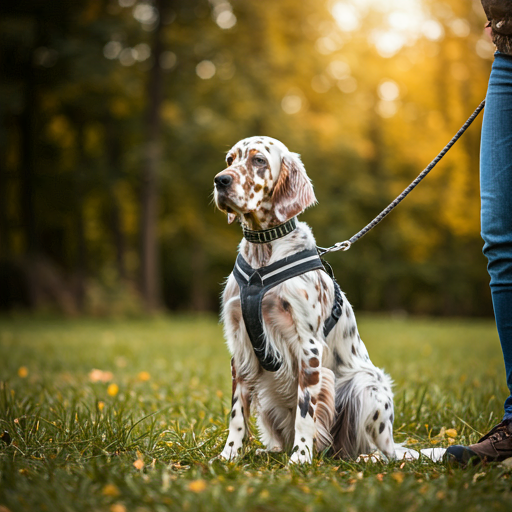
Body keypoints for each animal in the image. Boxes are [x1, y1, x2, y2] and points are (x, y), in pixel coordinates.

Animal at [214, 136, 394, 464]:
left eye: (258, 160)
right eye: (230, 159)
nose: (220, 180)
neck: (264, 253)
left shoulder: (308, 346)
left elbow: (305, 412)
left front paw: (300, 458)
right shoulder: (240, 346)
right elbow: (236, 414)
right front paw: (229, 454)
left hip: (366, 386)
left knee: (386, 452)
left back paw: (368, 457)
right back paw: (268, 450)